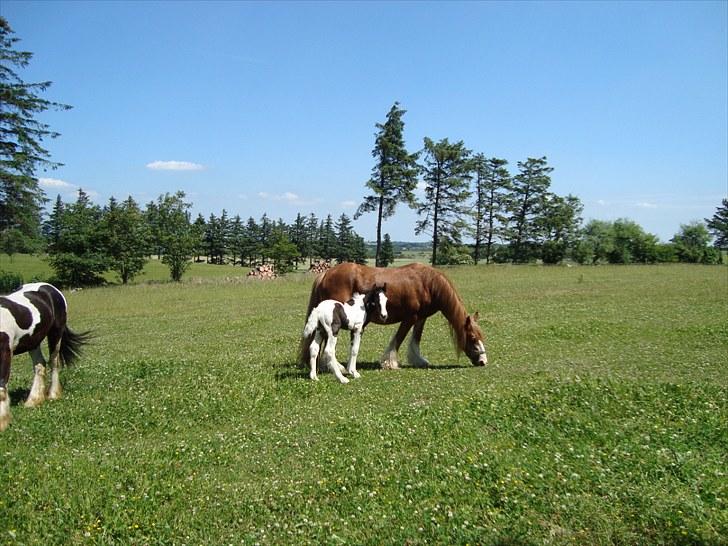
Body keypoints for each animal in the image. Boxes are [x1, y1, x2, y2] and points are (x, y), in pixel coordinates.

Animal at [0, 280, 91, 430]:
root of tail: (50, 288)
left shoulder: (5, 352)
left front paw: (2, 422)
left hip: (56, 334)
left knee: (54, 363)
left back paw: (53, 394)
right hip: (33, 341)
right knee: (40, 365)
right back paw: (33, 400)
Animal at [302, 260, 490, 370]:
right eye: (473, 338)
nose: (483, 361)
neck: (427, 284)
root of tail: (326, 273)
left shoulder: (421, 318)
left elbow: (416, 338)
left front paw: (418, 360)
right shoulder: (410, 318)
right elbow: (399, 339)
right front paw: (389, 362)